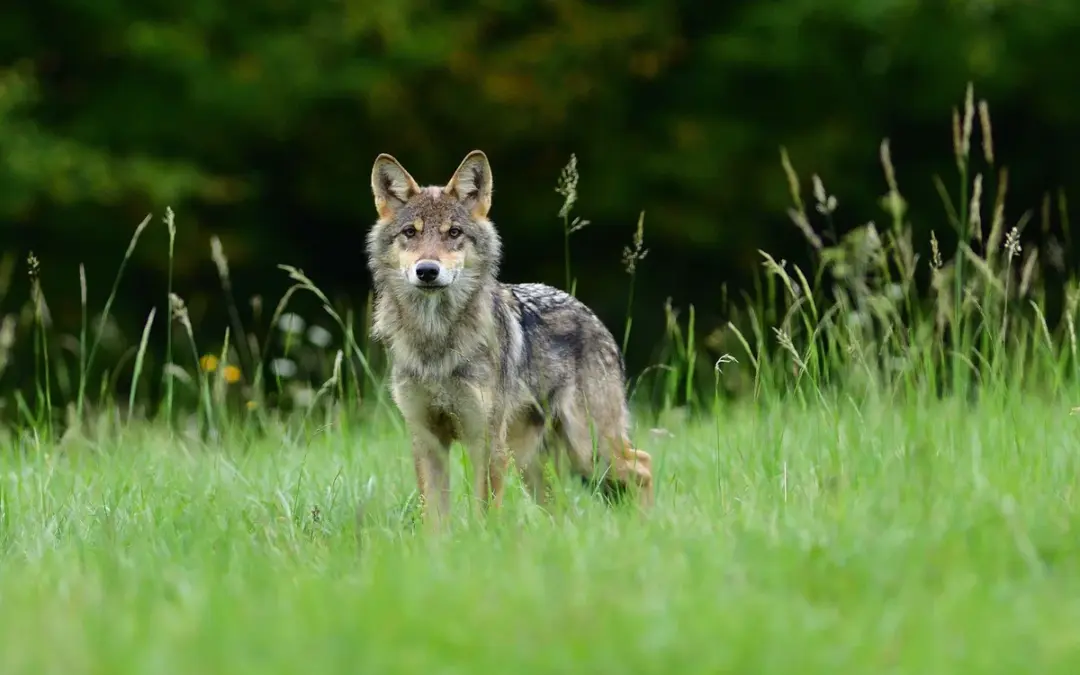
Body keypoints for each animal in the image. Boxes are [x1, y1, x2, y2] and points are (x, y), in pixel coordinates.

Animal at [365, 150, 654, 526]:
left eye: (454, 232)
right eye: (410, 233)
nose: (427, 270)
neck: (436, 341)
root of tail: (592, 317)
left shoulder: (485, 440)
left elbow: (485, 511)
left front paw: (484, 539)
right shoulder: (427, 440)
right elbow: (435, 521)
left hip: (586, 448)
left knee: (644, 465)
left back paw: (647, 526)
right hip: (534, 460)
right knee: (560, 506)